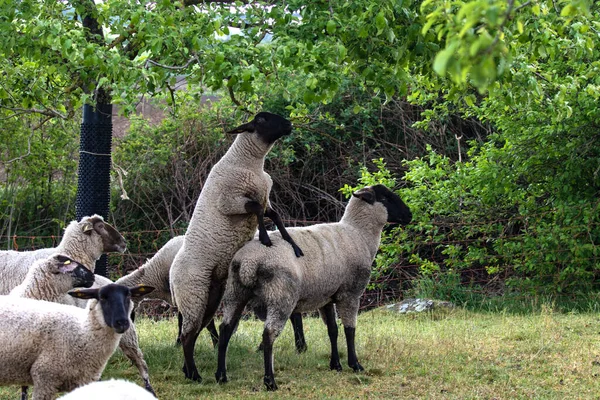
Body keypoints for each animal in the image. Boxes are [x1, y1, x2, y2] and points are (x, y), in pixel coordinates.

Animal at [0, 282, 152, 400]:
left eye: (129, 296)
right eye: (102, 297)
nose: (122, 322)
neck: (81, 332)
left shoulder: (82, 381)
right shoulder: (44, 377)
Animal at [171, 111, 304, 382]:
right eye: (262, 120)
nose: (288, 124)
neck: (248, 163)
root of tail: (171, 273)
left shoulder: (264, 196)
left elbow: (274, 215)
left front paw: (292, 245)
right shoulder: (231, 201)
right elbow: (257, 211)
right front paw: (264, 239)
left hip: (209, 298)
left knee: (195, 332)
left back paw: (189, 372)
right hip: (192, 296)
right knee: (187, 336)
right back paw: (195, 375)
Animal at [214, 184, 412, 390]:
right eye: (386, 198)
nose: (409, 214)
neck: (358, 234)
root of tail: (248, 262)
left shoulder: (327, 295)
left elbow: (332, 330)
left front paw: (336, 365)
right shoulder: (350, 293)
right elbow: (349, 330)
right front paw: (355, 364)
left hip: (235, 292)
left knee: (225, 330)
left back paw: (221, 376)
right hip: (280, 296)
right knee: (268, 335)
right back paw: (270, 381)